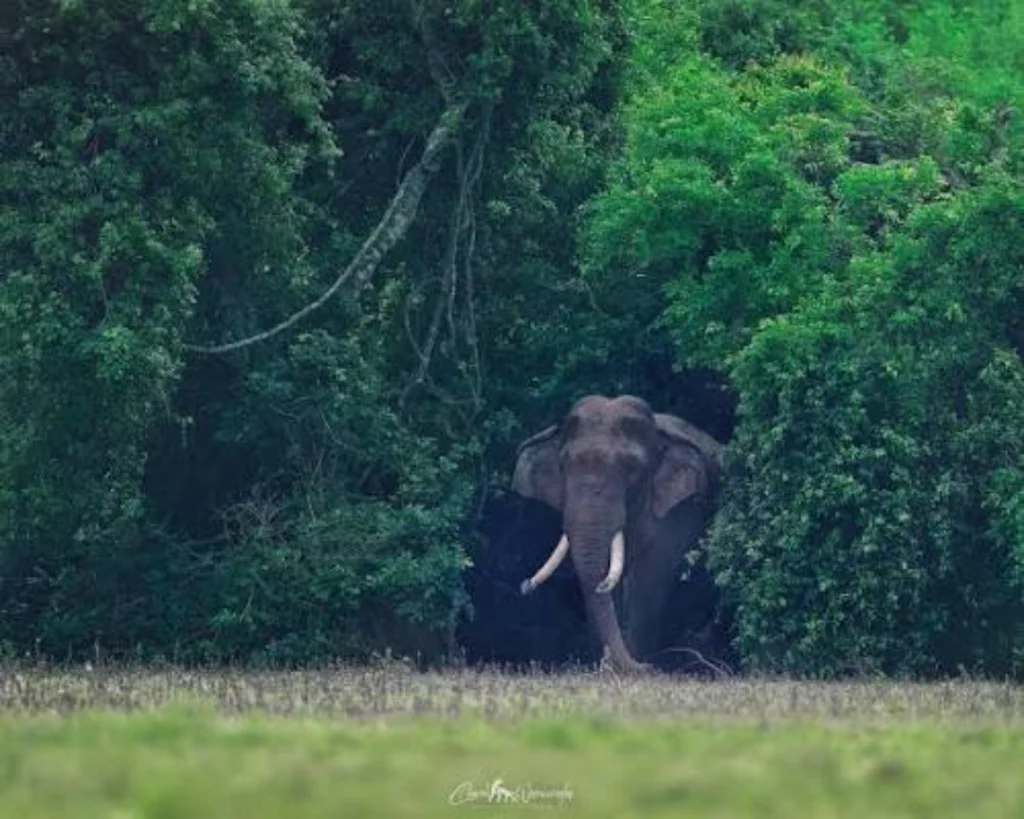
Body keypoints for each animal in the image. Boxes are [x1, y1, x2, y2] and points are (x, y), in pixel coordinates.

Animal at [512, 394, 723, 673]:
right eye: (564, 465)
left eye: (632, 469)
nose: (524, 586)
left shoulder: (681, 508)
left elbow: (651, 576)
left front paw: (639, 666)